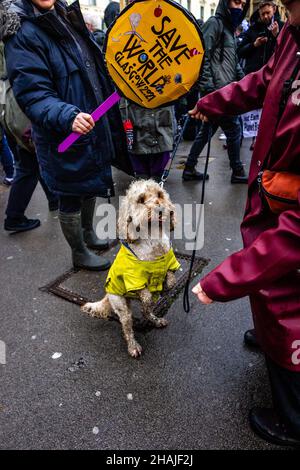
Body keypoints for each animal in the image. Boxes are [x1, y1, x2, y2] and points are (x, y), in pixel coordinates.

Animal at [81, 179, 180, 356]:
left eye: (160, 194)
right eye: (141, 200)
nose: (160, 209)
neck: (152, 239)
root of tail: (107, 294)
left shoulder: (169, 262)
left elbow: (171, 277)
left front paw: (167, 285)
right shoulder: (133, 278)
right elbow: (145, 293)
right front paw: (149, 294)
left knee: (146, 312)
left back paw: (156, 320)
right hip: (121, 306)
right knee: (127, 327)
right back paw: (133, 346)